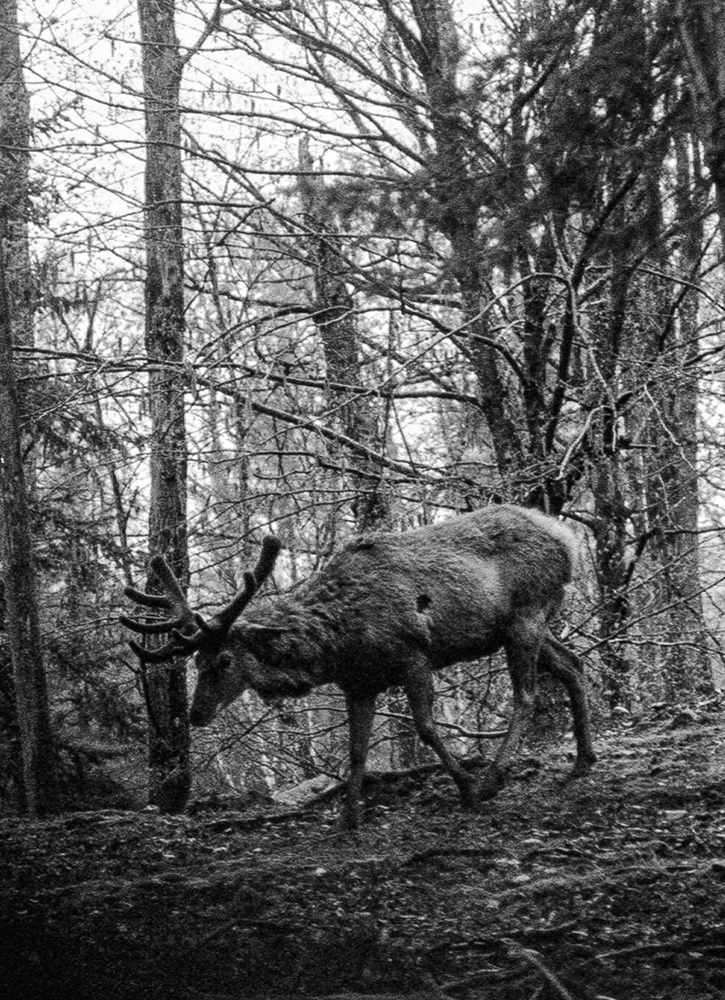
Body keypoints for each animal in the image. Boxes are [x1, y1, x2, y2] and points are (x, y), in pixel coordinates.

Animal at [121, 505, 596, 828]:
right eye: (196, 659)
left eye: (223, 658)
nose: (196, 713)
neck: (339, 643)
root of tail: (568, 539)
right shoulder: (359, 683)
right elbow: (356, 748)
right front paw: (348, 817)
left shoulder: (413, 654)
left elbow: (425, 727)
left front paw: (467, 786)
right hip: (528, 623)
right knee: (573, 664)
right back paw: (583, 760)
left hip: (526, 614)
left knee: (527, 694)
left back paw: (495, 775)